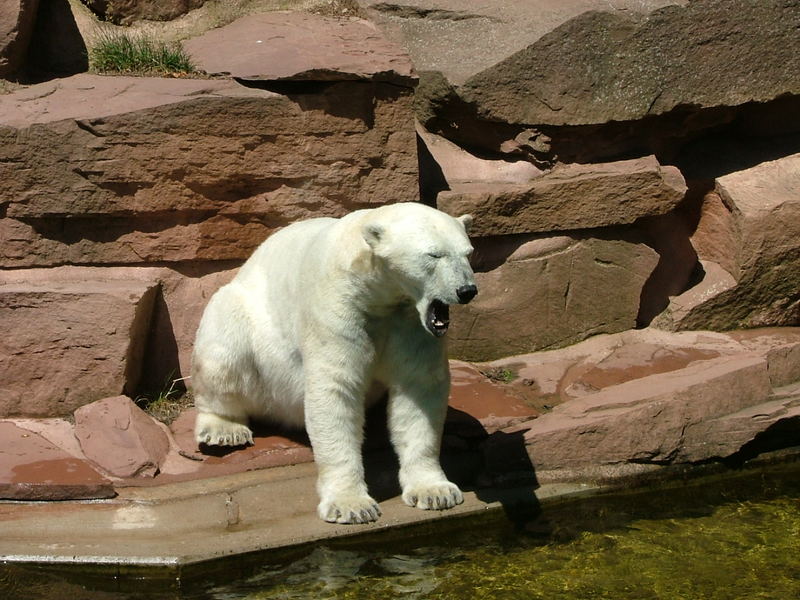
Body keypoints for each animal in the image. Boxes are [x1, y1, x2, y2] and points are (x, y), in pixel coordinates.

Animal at [191, 202, 478, 520]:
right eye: (433, 255)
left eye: (468, 252)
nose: (467, 290)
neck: (376, 290)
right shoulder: (337, 308)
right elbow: (336, 389)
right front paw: (351, 505)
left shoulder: (410, 324)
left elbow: (419, 389)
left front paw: (435, 491)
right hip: (244, 323)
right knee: (224, 353)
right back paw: (224, 429)